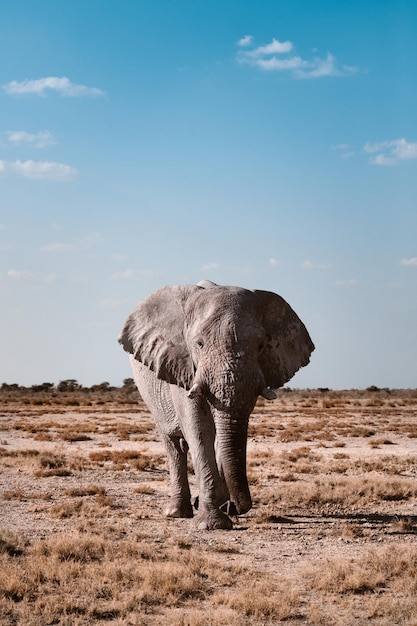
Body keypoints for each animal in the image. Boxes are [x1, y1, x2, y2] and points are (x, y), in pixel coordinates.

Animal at [117, 280, 312, 528]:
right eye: (199, 344)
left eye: (261, 346)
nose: (236, 507)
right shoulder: (182, 366)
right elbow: (199, 430)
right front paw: (213, 524)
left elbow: (223, 434)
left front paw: (222, 509)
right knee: (174, 445)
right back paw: (177, 512)